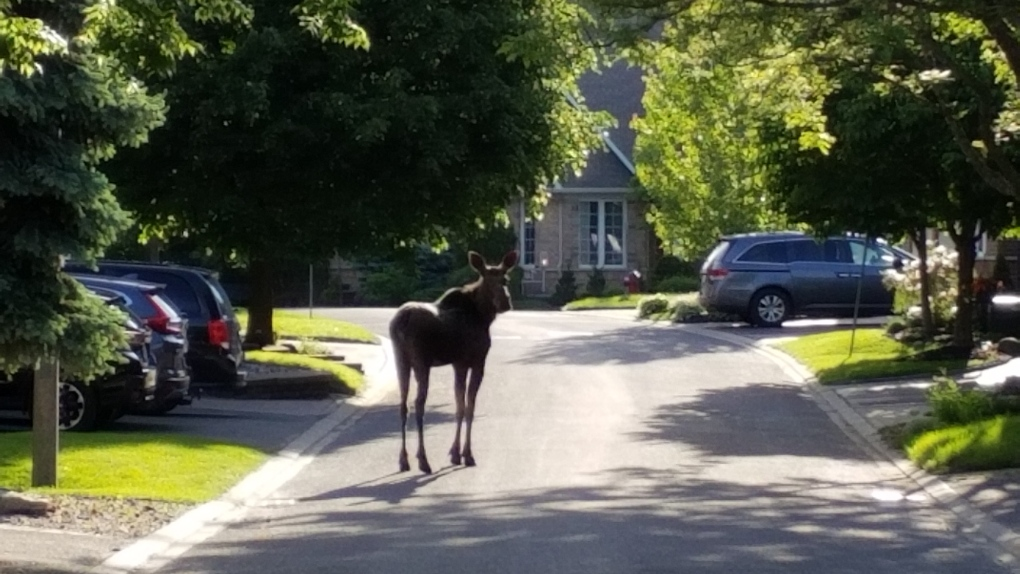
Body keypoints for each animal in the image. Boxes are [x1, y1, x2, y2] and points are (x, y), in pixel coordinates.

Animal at [387, 249, 522, 473]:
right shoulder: (475, 361)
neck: (484, 317)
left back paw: (403, 460)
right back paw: (423, 460)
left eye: (506, 279)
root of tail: (401, 320)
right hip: (421, 361)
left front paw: (454, 453)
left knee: (403, 404)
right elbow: (468, 407)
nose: (505, 303)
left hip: (401, 361)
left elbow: (459, 406)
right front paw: (467, 455)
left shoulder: (457, 364)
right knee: (419, 403)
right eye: (487, 280)